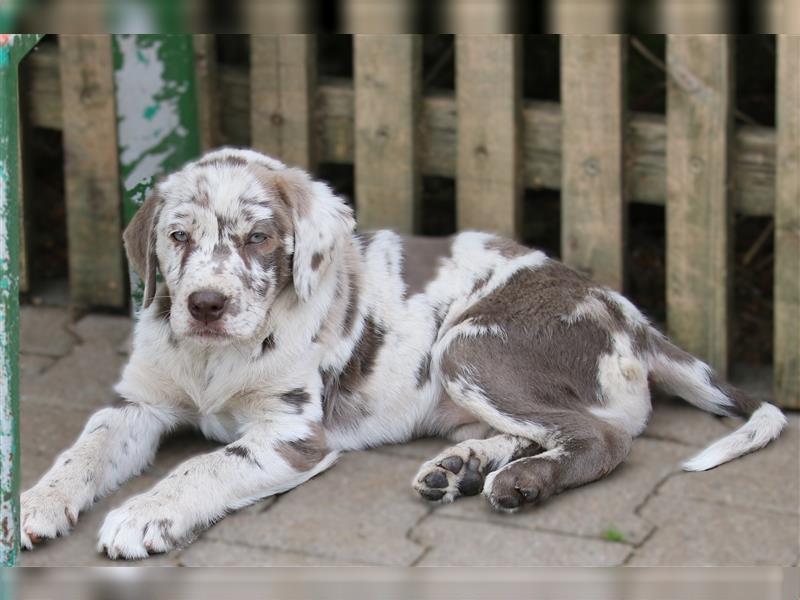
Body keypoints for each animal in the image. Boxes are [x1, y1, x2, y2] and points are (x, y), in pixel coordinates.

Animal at [21, 149, 792, 556]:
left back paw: (518, 482)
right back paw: (463, 468)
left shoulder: (290, 433)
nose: (205, 305)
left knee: (604, 438)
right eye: (178, 237)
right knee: (549, 430)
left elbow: (206, 466)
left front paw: (144, 514)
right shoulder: (137, 404)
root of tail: (626, 311)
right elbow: (83, 450)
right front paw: (34, 501)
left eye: (258, 238)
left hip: (470, 345)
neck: (214, 359)